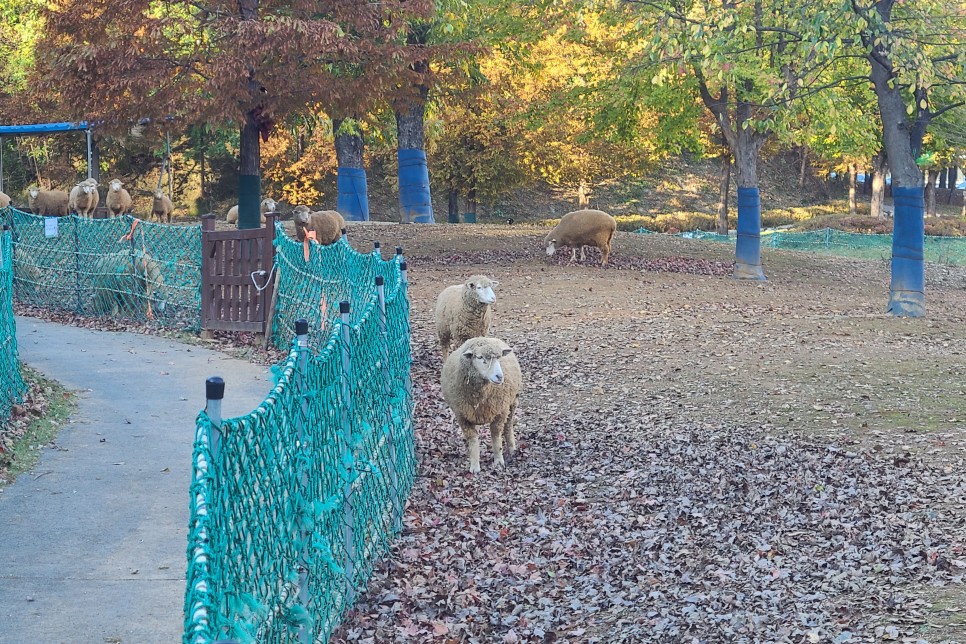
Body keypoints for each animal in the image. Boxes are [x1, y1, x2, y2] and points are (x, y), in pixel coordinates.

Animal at [442, 338, 524, 472]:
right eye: (479, 357)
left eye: (499, 357)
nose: (499, 377)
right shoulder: (462, 416)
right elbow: (473, 439)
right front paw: (474, 465)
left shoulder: (500, 412)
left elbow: (496, 437)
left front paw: (499, 461)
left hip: (512, 403)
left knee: (508, 425)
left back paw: (512, 448)